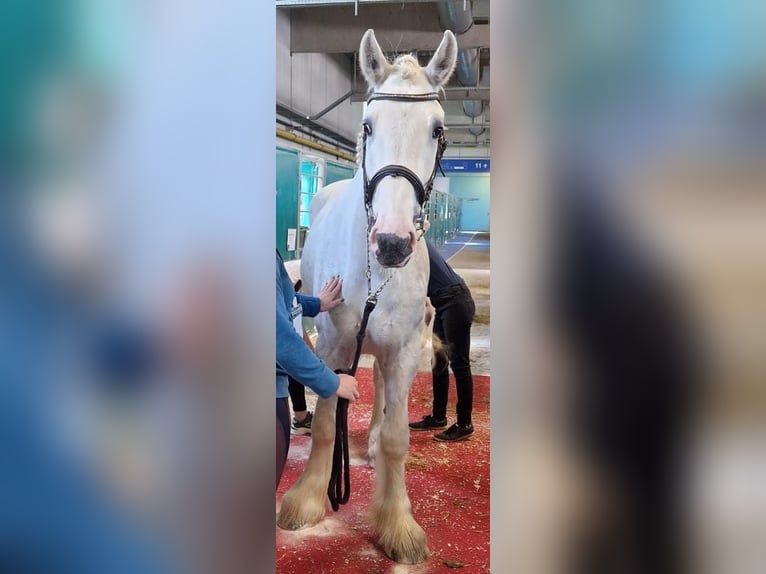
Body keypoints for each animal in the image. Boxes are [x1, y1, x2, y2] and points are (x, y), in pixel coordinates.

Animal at [276, 29, 458, 564]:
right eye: (368, 125)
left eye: (437, 131)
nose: (393, 243)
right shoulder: (334, 347)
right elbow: (324, 422)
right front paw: (308, 499)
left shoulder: (404, 351)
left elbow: (399, 437)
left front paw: (397, 524)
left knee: (380, 391)